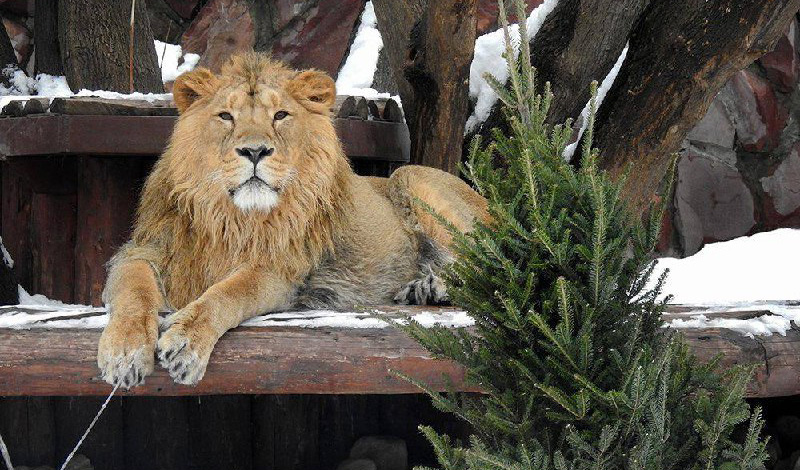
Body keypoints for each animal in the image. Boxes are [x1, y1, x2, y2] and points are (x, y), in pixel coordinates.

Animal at [95, 53, 488, 388]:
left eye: (280, 115)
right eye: (226, 116)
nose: (255, 151)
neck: (233, 218)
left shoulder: (277, 270)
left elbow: (227, 293)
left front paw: (186, 343)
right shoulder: (145, 250)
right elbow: (133, 290)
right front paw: (125, 353)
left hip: (411, 177)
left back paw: (433, 287)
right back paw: (421, 288)